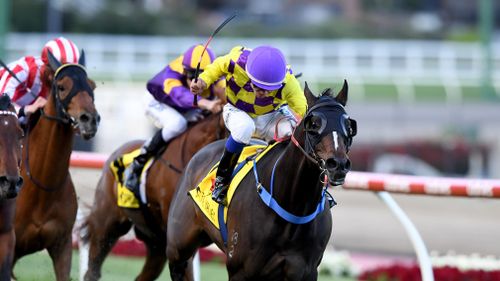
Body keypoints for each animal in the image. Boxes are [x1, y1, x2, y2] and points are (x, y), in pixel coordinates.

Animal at [166, 80, 358, 278]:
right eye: (313, 124)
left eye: (349, 126)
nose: (338, 164)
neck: (293, 206)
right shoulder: (240, 269)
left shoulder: (305, 270)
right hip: (178, 250)